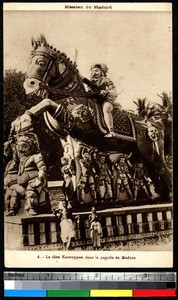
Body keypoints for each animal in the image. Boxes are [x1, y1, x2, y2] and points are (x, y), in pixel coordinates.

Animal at [10, 35, 171, 198]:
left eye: (41, 62)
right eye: (28, 62)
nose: (29, 86)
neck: (69, 94)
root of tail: (156, 124)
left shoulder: (74, 121)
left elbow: (47, 102)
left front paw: (24, 120)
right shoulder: (61, 133)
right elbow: (43, 105)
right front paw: (21, 120)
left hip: (151, 153)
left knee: (165, 170)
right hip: (138, 156)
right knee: (154, 173)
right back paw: (159, 196)